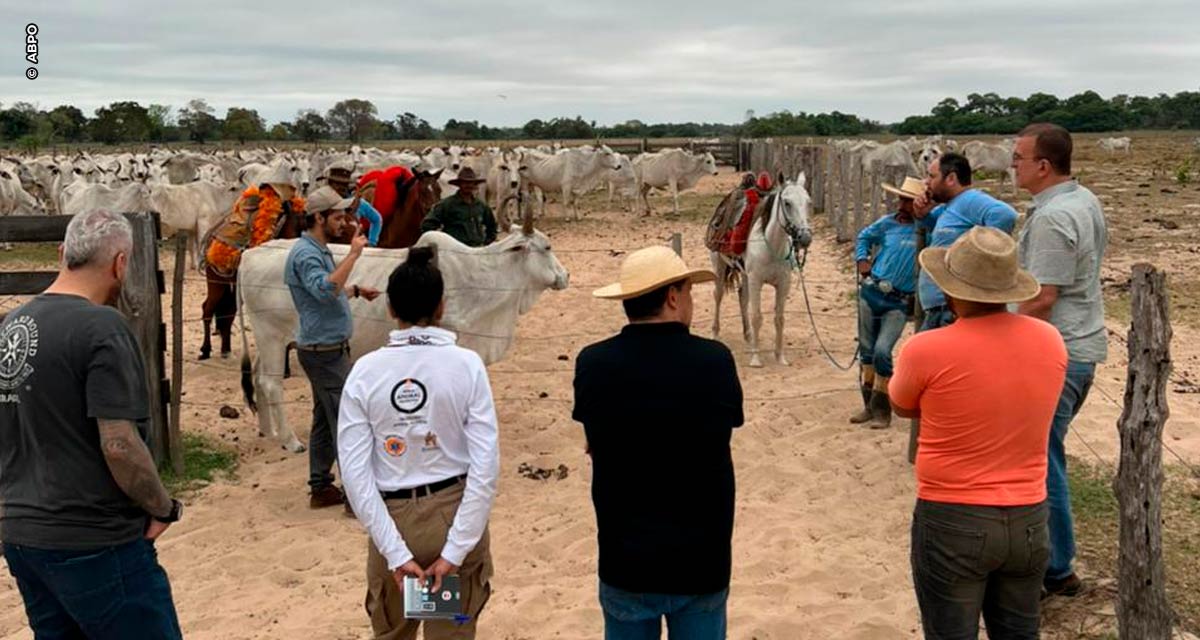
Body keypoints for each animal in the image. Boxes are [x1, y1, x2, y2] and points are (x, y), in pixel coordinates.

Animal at [240, 222, 571, 451]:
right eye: (547, 247)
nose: (565, 276)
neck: (481, 277)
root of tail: (249, 254)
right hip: (272, 338)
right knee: (270, 384)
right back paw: (289, 439)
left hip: (269, 341)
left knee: (256, 376)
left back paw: (266, 430)